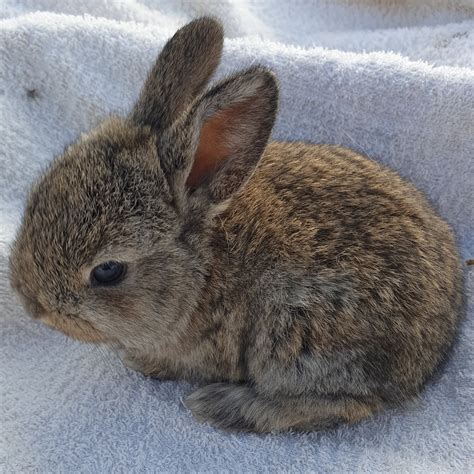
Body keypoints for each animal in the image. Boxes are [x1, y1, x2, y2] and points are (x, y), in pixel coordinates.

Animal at [10, 17, 462, 434]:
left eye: (107, 271)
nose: (32, 304)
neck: (202, 270)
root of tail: (436, 345)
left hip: (299, 339)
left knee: (348, 405)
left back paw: (224, 406)